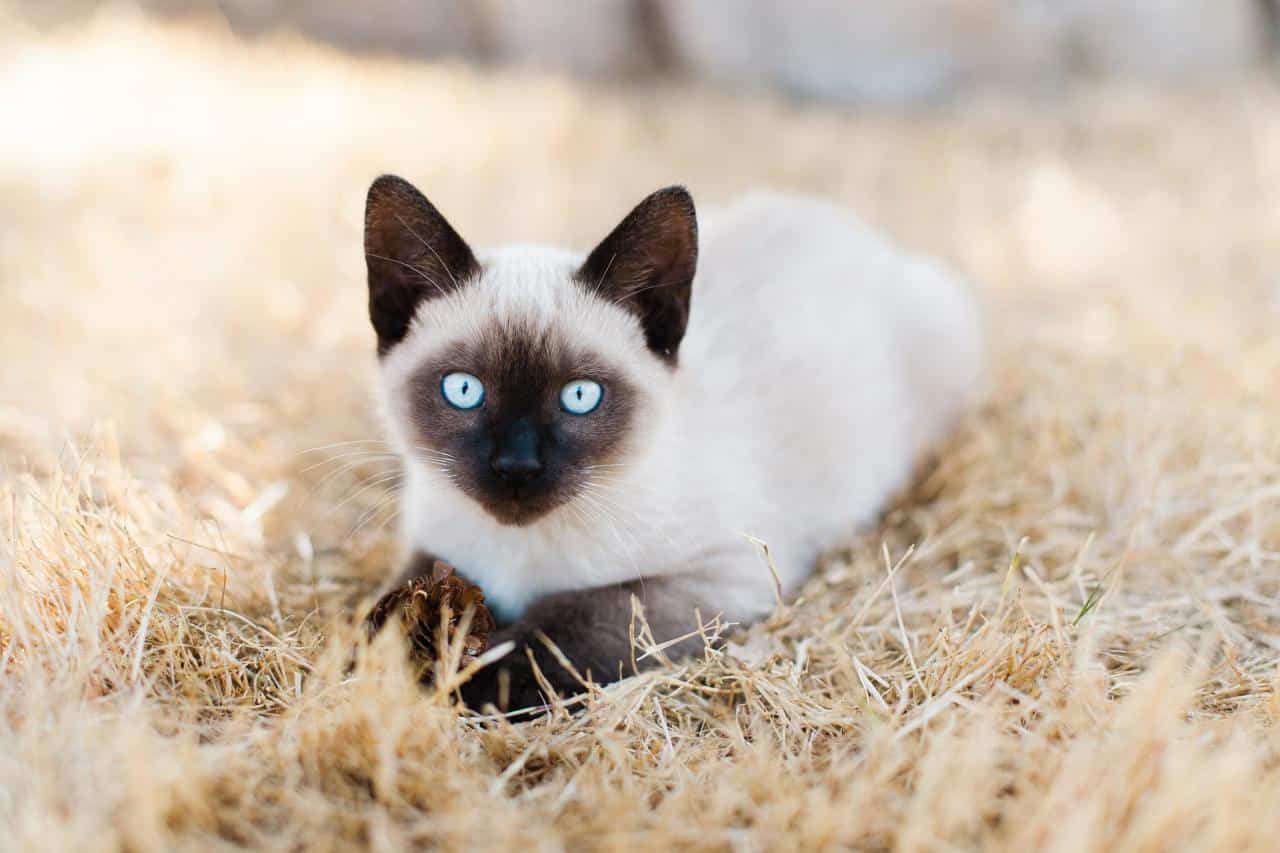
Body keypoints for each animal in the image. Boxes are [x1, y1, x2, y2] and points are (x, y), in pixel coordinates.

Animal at [360, 175, 977, 706]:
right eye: (464, 390)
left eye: (580, 396)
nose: (517, 467)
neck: (515, 552)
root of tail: (842, 221)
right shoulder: (434, 544)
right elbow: (391, 604)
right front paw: (393, 654)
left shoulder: (720, 577)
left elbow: (569, 623)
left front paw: (471, 683)